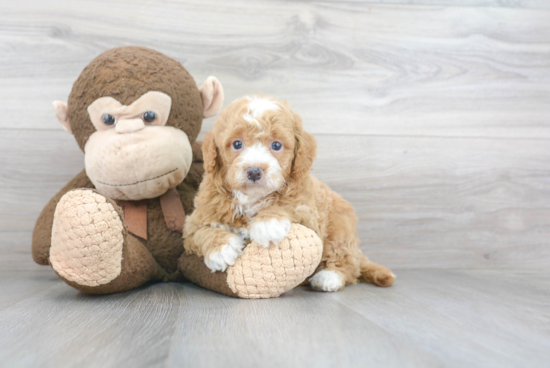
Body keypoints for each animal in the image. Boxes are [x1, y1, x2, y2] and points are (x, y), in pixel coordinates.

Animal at [185, 96, 396, 292]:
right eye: (237, 144)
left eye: (276, 146)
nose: (254, 171)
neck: (252, 198)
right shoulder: (198, 216)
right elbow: (200, 231)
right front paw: (221, 249)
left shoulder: (309, 212)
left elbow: (288, 204)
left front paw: (267, 223)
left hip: (339, 228)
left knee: (348, 262)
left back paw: (329, 277)